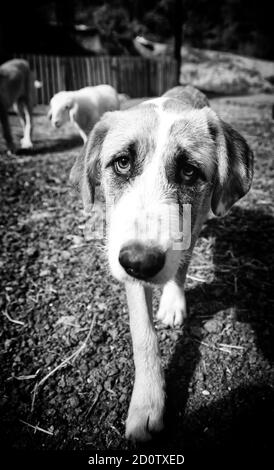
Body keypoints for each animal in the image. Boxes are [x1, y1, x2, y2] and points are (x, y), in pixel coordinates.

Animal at [69, 86, 254, 442]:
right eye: (122, 163)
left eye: (189, 171)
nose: (139, 263)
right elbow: (144, 336)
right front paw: (147, 404)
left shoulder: (190, 229)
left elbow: (180, 270)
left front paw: (173, 304)